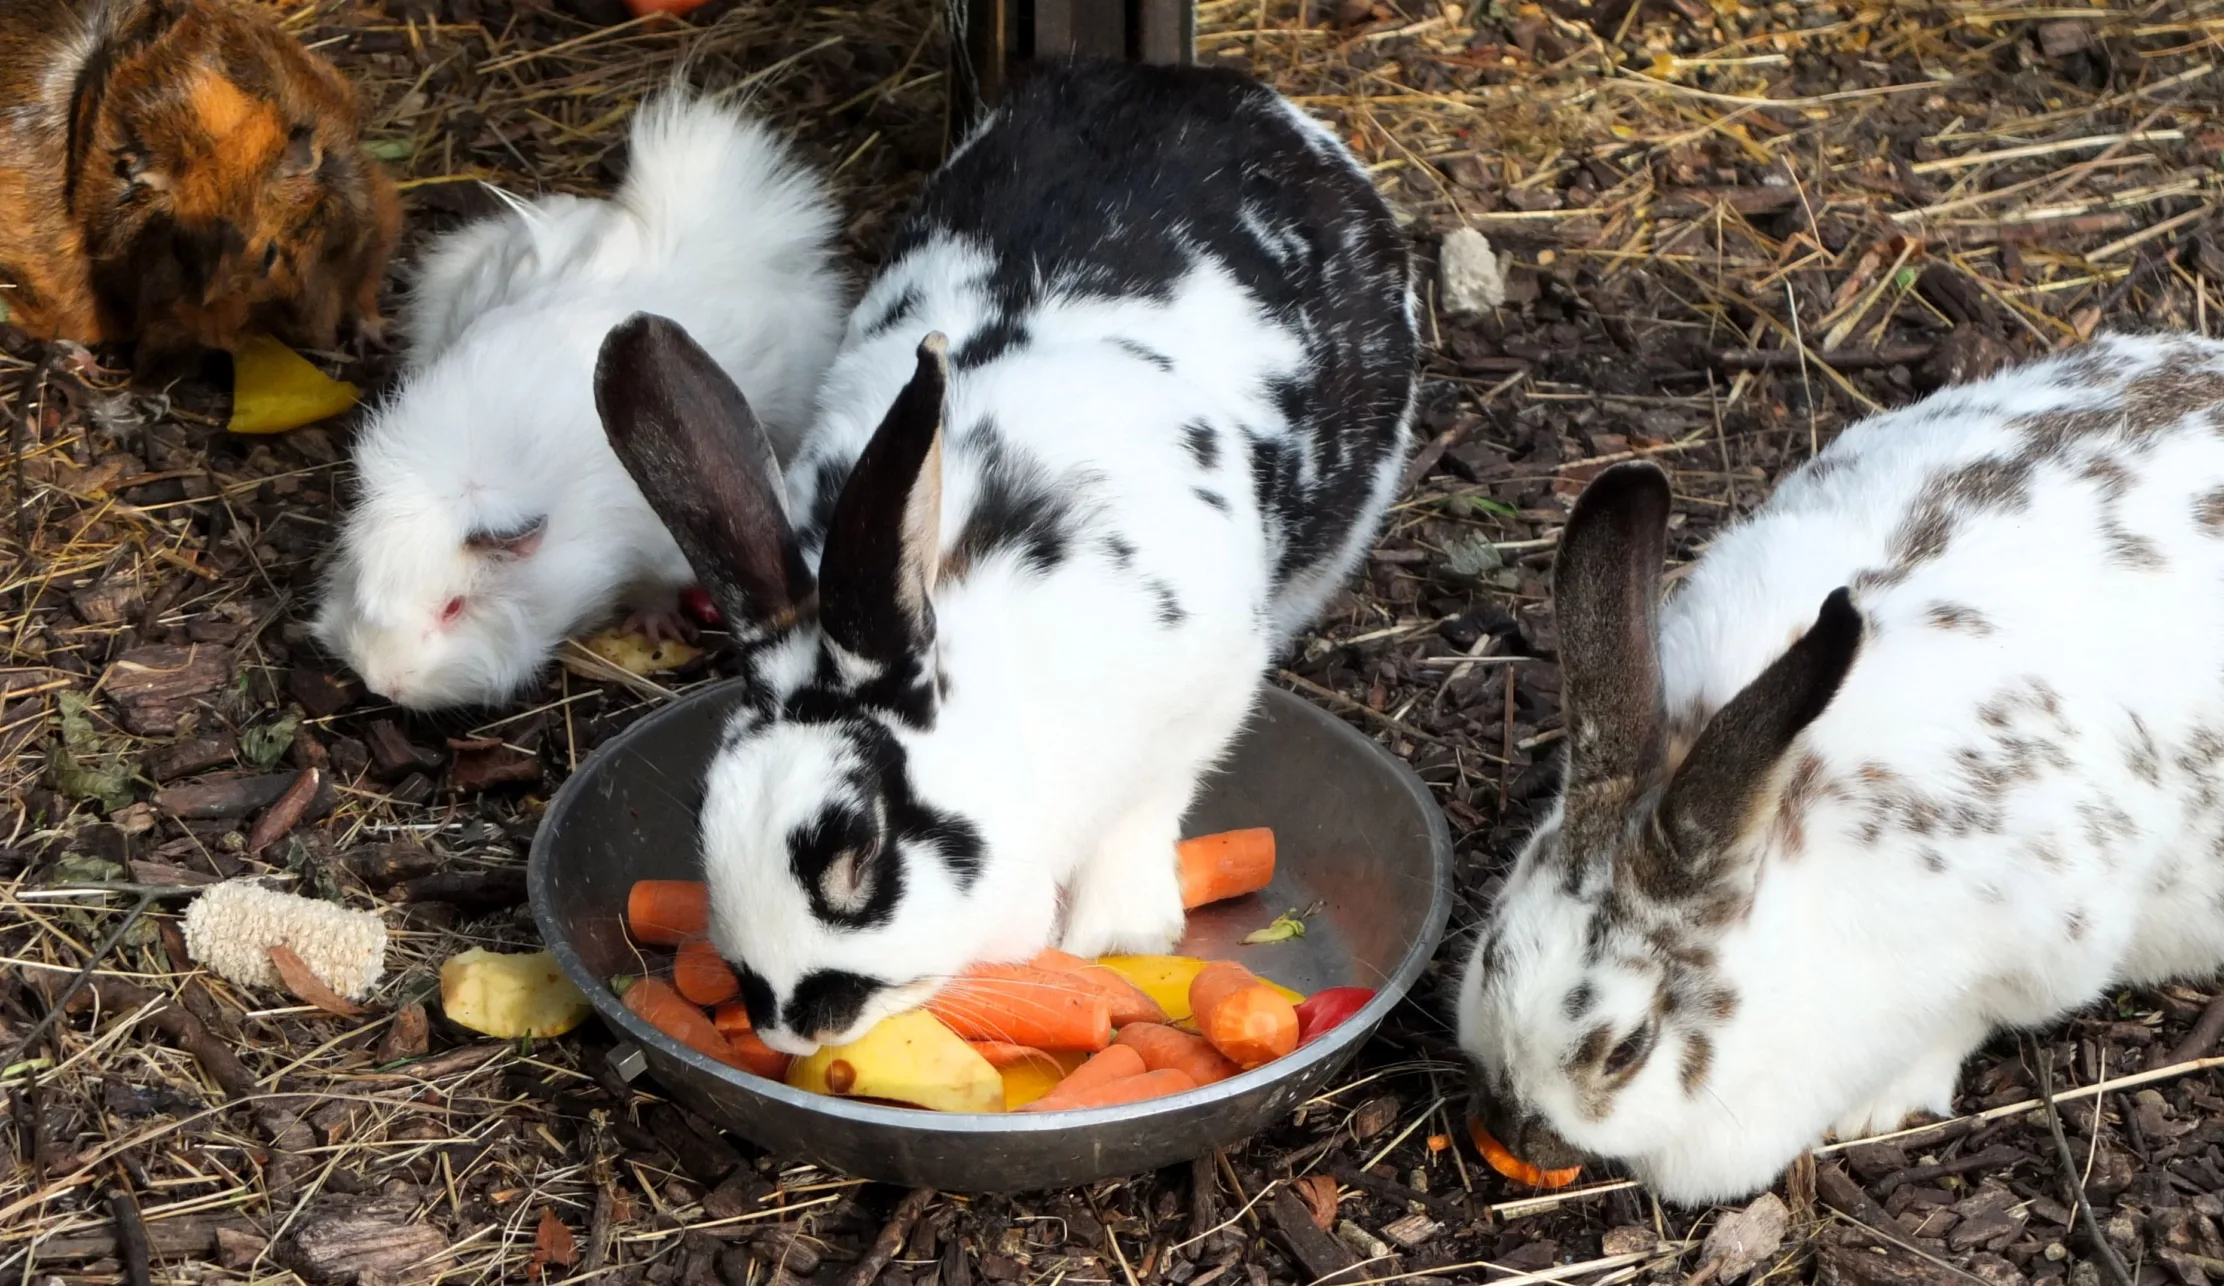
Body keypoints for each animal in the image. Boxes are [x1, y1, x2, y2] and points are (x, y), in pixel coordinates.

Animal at [0, 0, 400, 370]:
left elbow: (365, 289)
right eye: (183, 252)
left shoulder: (376, 219)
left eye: (269, 255)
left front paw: (372, 337)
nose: (219, 338)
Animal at [310, 92, 847, 713]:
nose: (383, 681)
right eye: (361, 583)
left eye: (454, 607)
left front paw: (656, 626)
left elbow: (655, 588)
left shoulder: (660, 548)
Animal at [590, 58, 1417, 1056]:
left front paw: (1118, 931)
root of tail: (1201, 83)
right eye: (704, 823)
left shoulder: (1211, 685)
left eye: (864, 853)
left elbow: (1151, 803)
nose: (792, 1026)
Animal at [1456, 330, 2224, 1204]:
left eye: (1627, 1049)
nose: (1517, 1127)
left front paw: (1877, 1107)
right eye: (1489, 955)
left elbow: (1968, 1020)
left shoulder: (2048, 945)